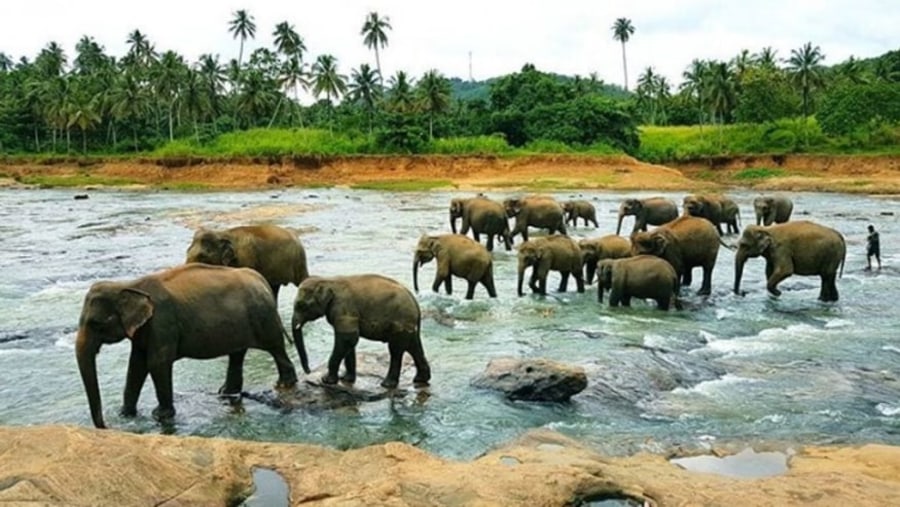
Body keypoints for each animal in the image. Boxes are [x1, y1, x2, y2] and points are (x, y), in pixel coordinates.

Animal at [74, 264, 298, 430]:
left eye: (96, 323)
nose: (106, 426)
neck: (129, 285)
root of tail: (261, 279)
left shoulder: (162, 321)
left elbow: (156, 363)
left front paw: (160, 416)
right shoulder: (143, 329)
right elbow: (136, 364)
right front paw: (126, 414)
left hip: (263, 317)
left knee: (276, 348)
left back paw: (285, 384)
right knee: (237, 354)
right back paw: (226, 393)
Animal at [288, 274, 428, 388]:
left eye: (301, 305)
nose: (308, 371)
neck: (328, 280)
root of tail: (416, 303)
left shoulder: (343, 308)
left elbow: (347, 339)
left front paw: (326, 380)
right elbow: (349, 341)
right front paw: (346, 379)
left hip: (400, 320)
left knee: (396, 350)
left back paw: (387, 384)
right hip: (407, 324)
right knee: (413, 346)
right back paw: (420, 379)